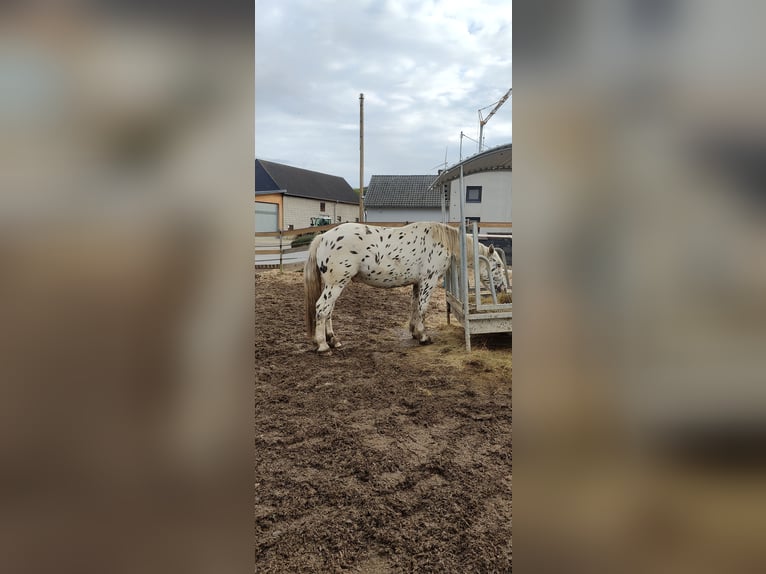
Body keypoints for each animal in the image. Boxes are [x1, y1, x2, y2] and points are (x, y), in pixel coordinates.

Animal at [304, 222, 508, 354]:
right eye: (497, 265)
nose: (503, 289)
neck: (440, 241)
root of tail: (323, 237)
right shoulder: (428, 280)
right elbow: (422, 308)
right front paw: (424, 336)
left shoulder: (417, 283)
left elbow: (414, 306)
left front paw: (414, 332)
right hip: (336, 284)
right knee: (322, 308)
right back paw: (322, 346)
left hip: (333, 284)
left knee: (328, 311)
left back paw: (334, 341)